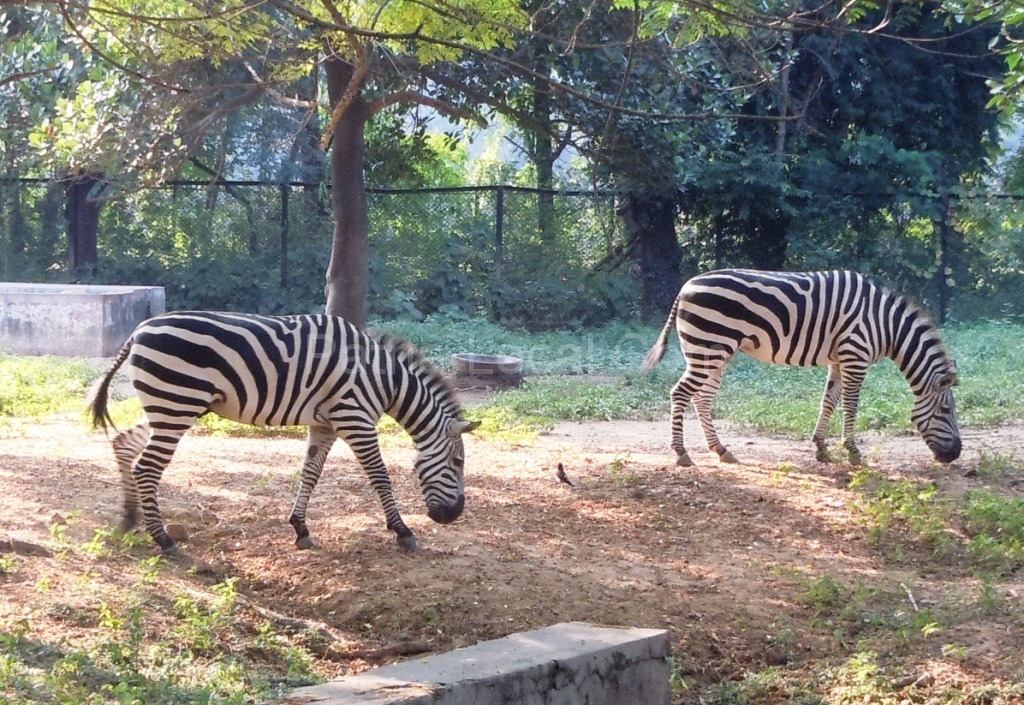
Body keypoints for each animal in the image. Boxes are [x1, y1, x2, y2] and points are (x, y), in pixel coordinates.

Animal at [87, 311, 479, 553]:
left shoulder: (325, 424)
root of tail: (139, 329)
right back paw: (163, 539)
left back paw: (128, 519)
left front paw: (300, 529)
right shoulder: (355, 419)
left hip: (170, 406)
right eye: (457, 463)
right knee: (148, 467)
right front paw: (402, 531)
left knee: (124, 444)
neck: (384, 379)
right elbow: (380, 477)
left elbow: (310, 474)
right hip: (177, 404)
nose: (455, 515)